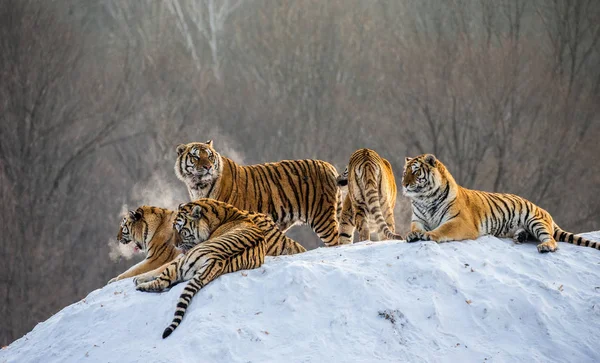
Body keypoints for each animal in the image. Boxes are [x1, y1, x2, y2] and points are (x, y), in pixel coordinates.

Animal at [134, 199, 308, 338]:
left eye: (181, 230)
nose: (175, 245)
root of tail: (215, 261)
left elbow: (156, 270)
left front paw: (138, 278)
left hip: (182, 262)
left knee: (162, 282)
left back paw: (141, 286)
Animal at [173, 140, 342, 247]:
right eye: (195, 156)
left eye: (209, 156)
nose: (208, 167)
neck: (197, 186)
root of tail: (329, 166)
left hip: (322, 217)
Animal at [400, 154, 596, 253]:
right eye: (404, 172)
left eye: (416, 172)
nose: (404, 184)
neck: (425, 199)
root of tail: (544, 210)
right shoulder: (418, 220)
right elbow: (414, 228)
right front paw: (413, 235)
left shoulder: (460, 221)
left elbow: (443, 229)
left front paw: (429, 235)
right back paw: (520, 237)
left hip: (535, 220)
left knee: (552, 240)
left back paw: (545, 247)